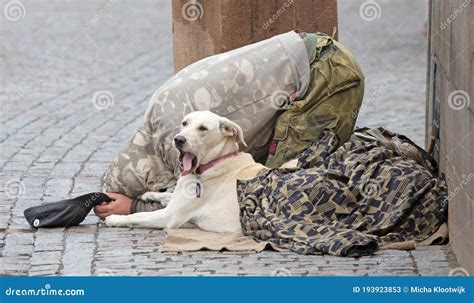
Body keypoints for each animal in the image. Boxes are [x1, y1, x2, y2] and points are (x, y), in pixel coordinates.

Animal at [104, 110, 266, 234]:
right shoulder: (176, 201)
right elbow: (167, 195)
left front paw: (116, 219)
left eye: (203, 128)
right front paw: (148, 194)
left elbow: (139, 215)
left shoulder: (170, 215)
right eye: (184, 123)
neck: (214, 163)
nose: (178, 139)